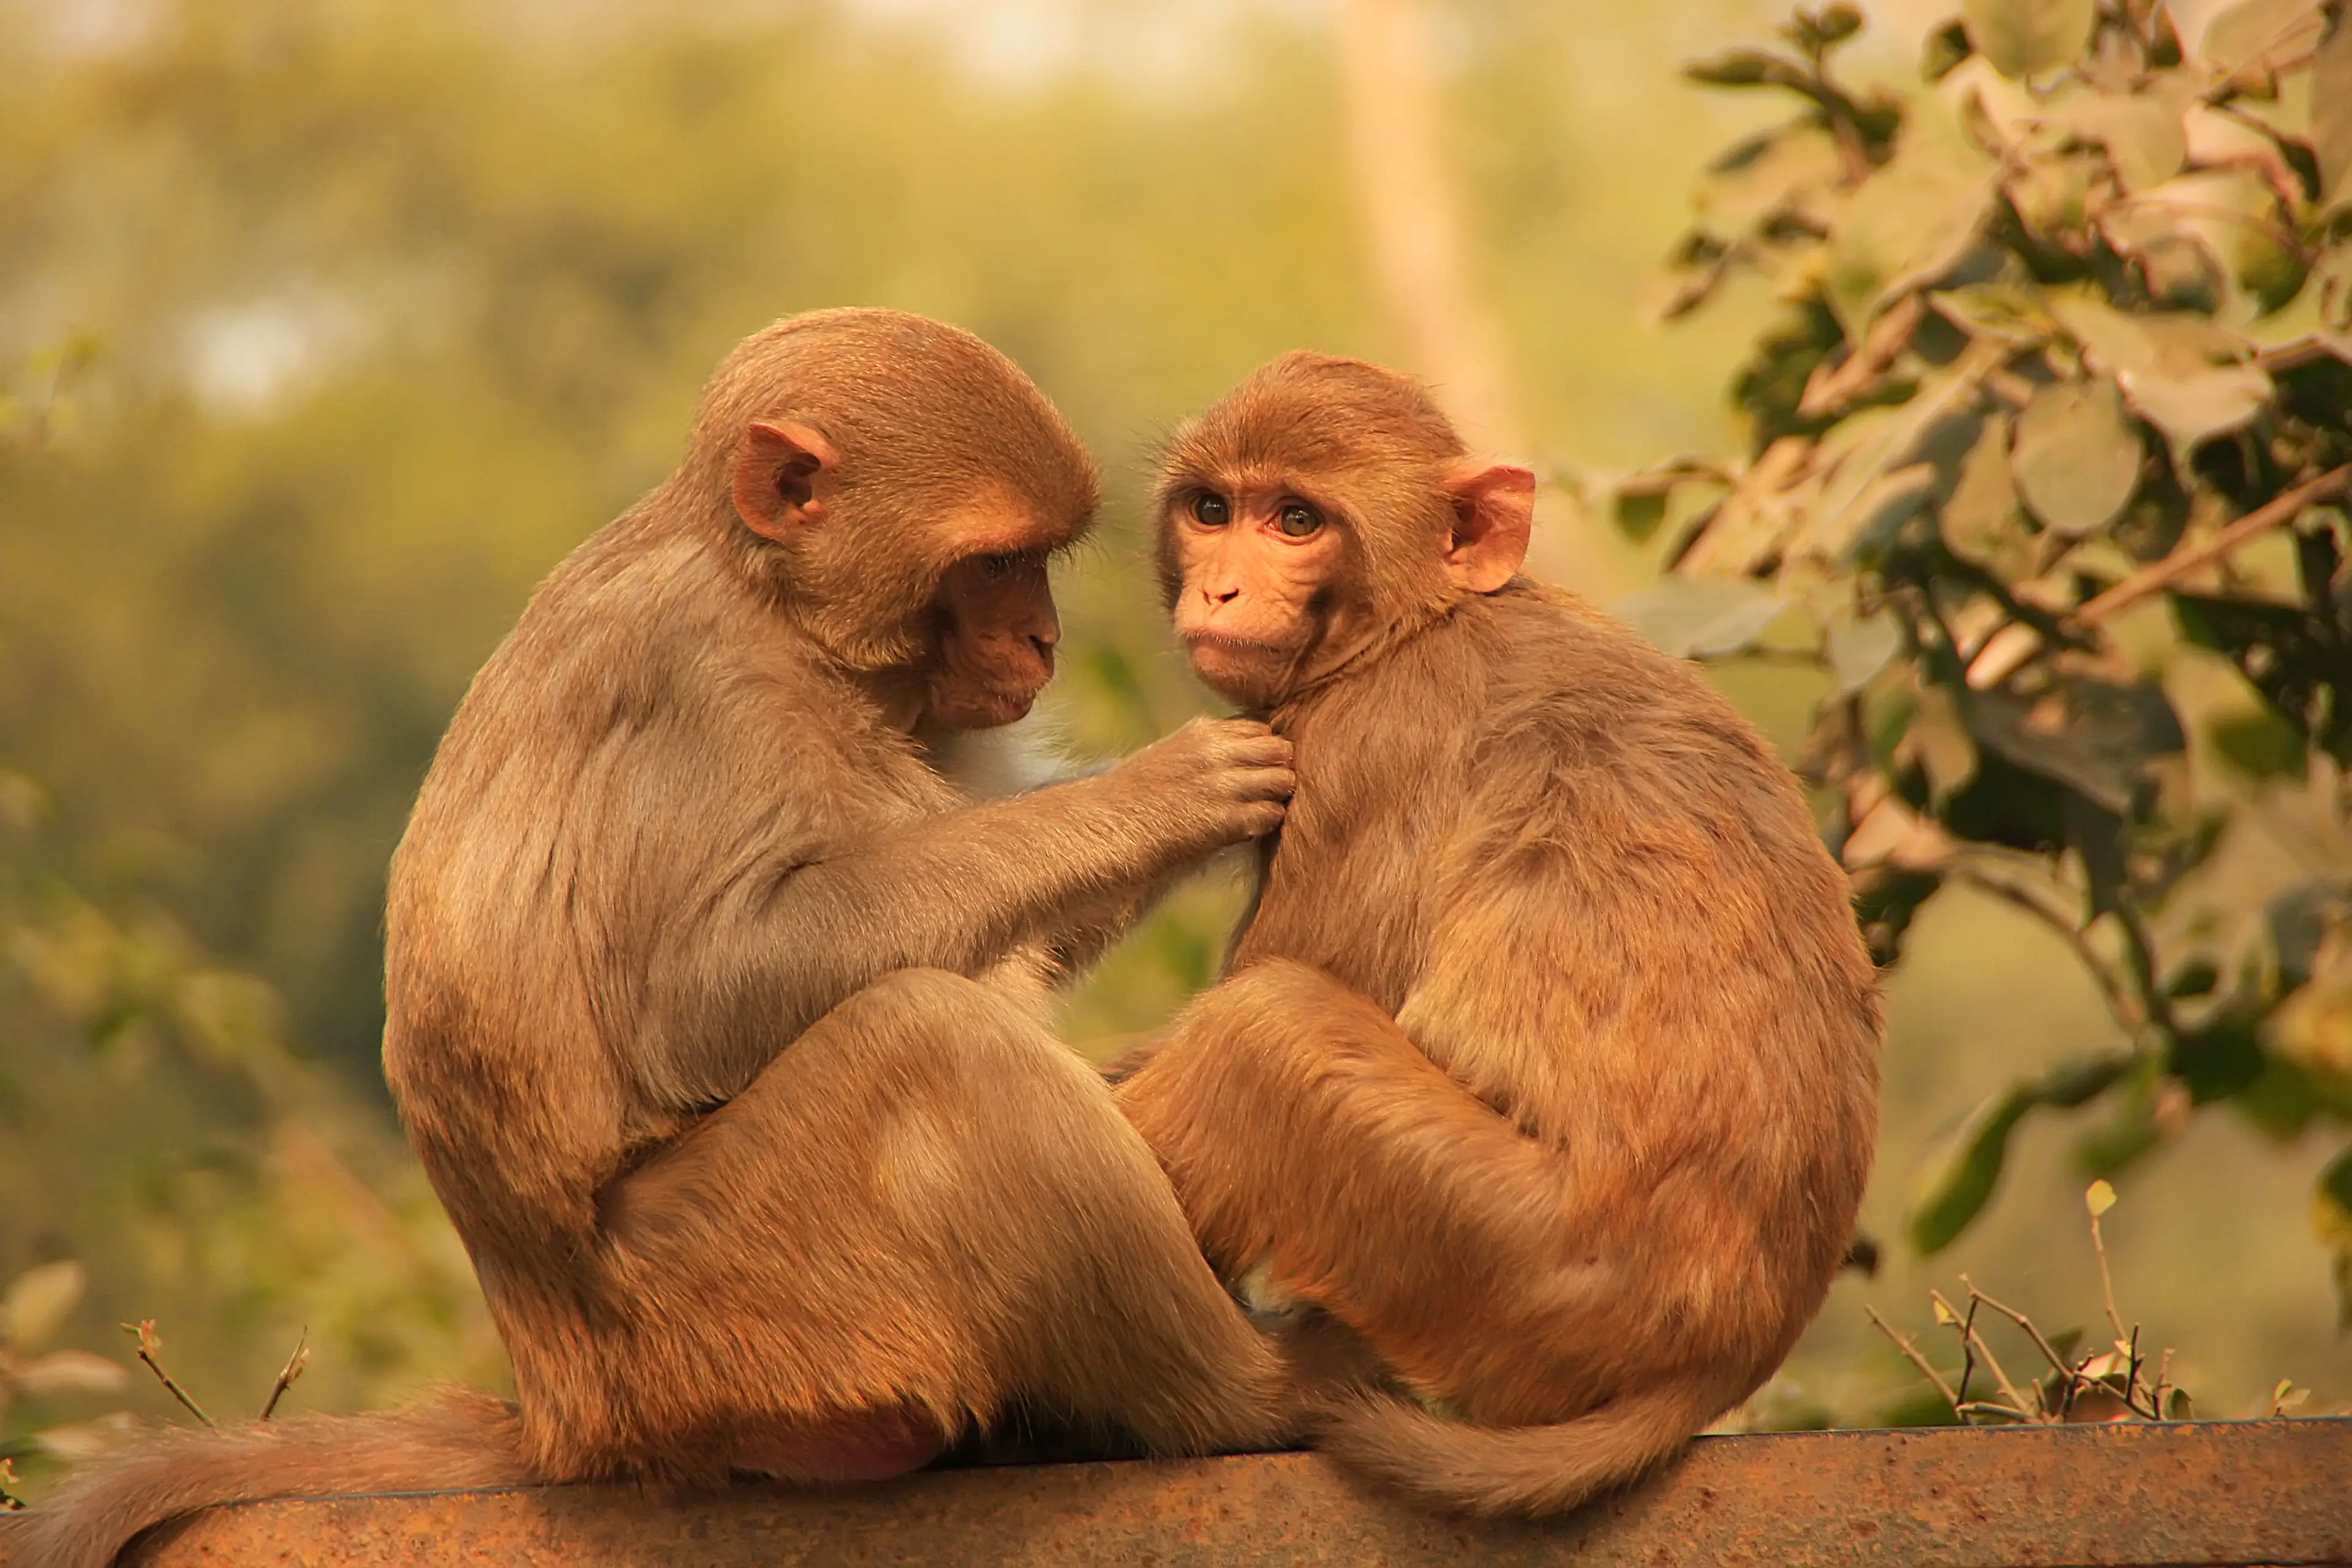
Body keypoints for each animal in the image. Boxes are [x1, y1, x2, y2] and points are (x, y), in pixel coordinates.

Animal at [10, 309, 1303, 1568]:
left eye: (1035, 566)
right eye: (995, 564)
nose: (1040, 640)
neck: (777, 603)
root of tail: (563, 1419)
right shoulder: (702, 688)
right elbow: (706, 994)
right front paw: (1166, 792)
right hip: (722, 1320)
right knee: (928, 1044)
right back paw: (1262, 1396)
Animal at [1112, 352, 1883, 1517]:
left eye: (1296, 520)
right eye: (1213, 512)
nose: (1223, 589)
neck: (1414, 625)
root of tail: (1723, 1353)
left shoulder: (1360, 752)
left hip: (1511, 1260)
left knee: (1268, 1031)